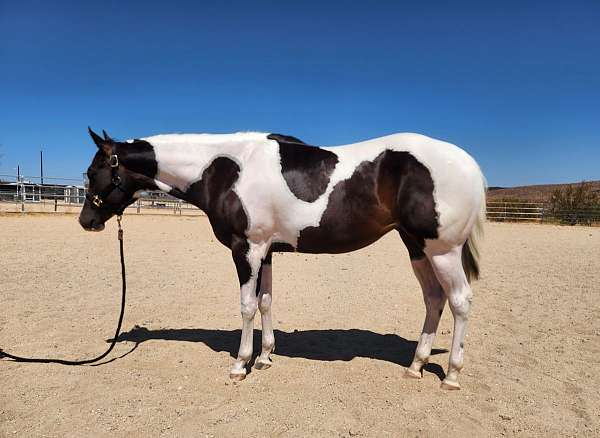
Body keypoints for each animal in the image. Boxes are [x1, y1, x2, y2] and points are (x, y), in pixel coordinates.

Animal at [79, 127, 486, 390]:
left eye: (93, 171)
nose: (87, 221)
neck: (224, 168)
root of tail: (468, 162)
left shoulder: (246, 249)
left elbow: (246, 305)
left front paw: (240, 365)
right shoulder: (267, 252)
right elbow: (266, 301)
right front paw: (264, 357)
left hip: (442, 250)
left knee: (460, 301)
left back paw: (451, 375)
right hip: (416, 246)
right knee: (433, 299)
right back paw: (416, 366)